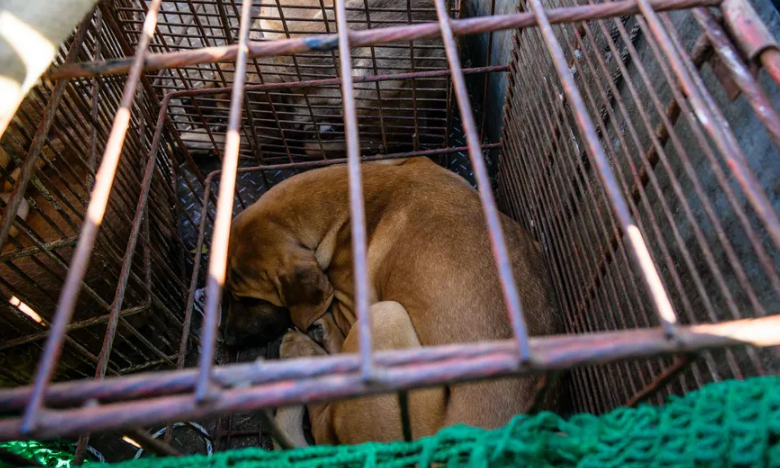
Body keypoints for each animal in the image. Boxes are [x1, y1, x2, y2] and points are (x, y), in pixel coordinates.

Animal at [222, 157, 564, 446]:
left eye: (250, 301)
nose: (226, 339)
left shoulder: (354, 305)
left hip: (385, 315)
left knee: (323, 423)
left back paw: (303, 348)